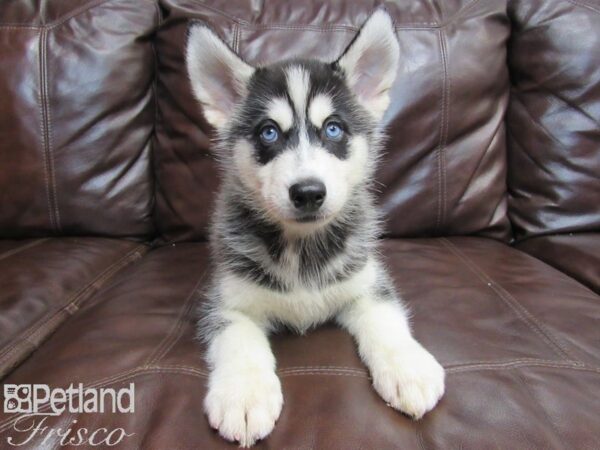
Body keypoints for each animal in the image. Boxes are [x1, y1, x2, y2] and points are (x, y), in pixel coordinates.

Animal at [188, 9, 446, 446]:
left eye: (333, 128)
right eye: (268, 132)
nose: (308, 192)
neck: (301, 247)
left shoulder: (367, 284)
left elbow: (387, 321)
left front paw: (407, 366)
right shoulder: (228, 301)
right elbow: (238, 340)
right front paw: (244, 394)